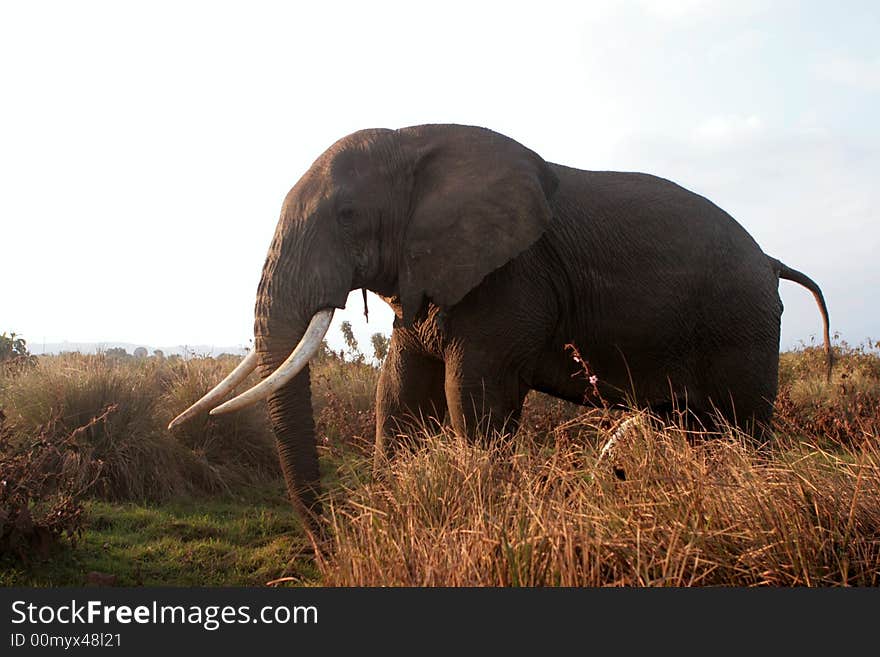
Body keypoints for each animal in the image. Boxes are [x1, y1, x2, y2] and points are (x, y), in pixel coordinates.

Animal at [168, 123, 828, 532]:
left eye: (348, 215)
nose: (332, 543)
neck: (412, 143)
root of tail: (770, 260)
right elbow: (399, 396)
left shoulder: (513, 277)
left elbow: (473, 396)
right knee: (695, 429)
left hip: (742, 322)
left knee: (741, 428)